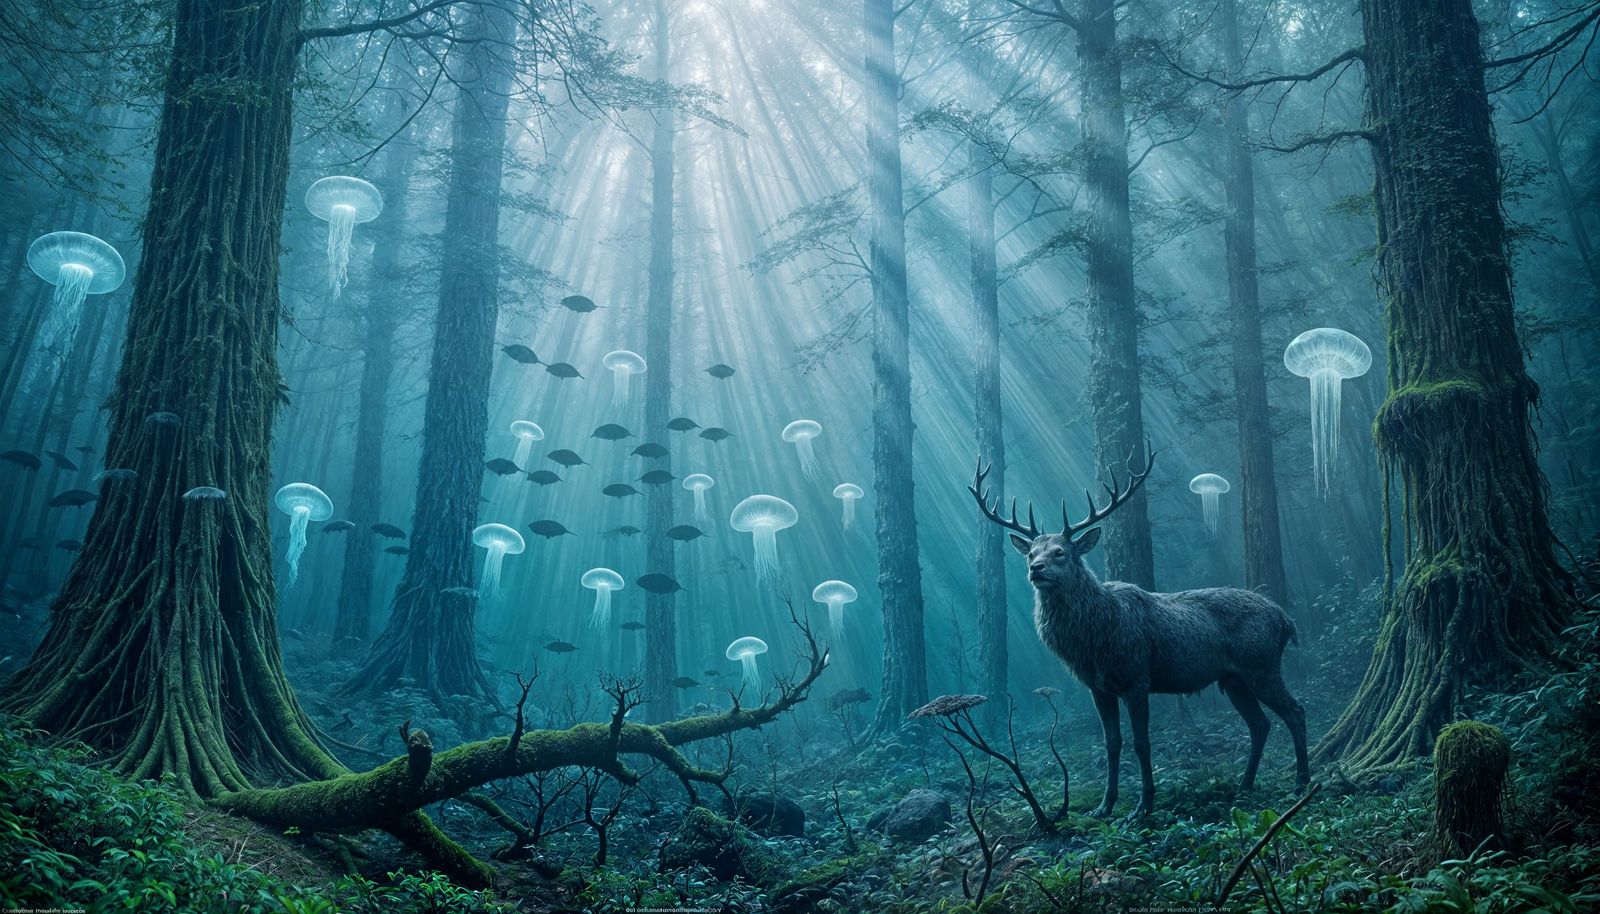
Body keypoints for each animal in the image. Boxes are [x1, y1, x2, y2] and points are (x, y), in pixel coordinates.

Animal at [970, 447, 1309, 818]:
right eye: (1031, 552)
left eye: (1061, 552)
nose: (1036, 569)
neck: (1094, 639)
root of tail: (1285, 620)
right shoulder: (1098, 687)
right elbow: (1112, 743)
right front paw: (1104, 806)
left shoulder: (1137, 678)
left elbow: (1141, 742)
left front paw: (1143, 805)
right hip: (1233, 680)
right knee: (1260, 724)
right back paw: (1244, 785)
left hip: (1261, 666)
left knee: (1295, 711)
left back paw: (1301, 782)